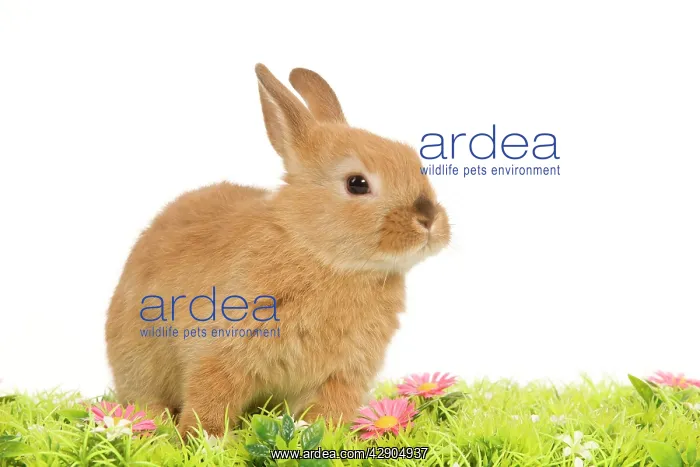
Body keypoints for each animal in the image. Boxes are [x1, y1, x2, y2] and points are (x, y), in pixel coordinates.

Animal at [105, 64, 451, 438]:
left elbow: (327, 414)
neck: (316, 252)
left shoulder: (342, 375)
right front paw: (204, 439)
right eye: (357, 183)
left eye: (415, 162)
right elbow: (209, 399)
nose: (428, 219)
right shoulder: (220, 352)